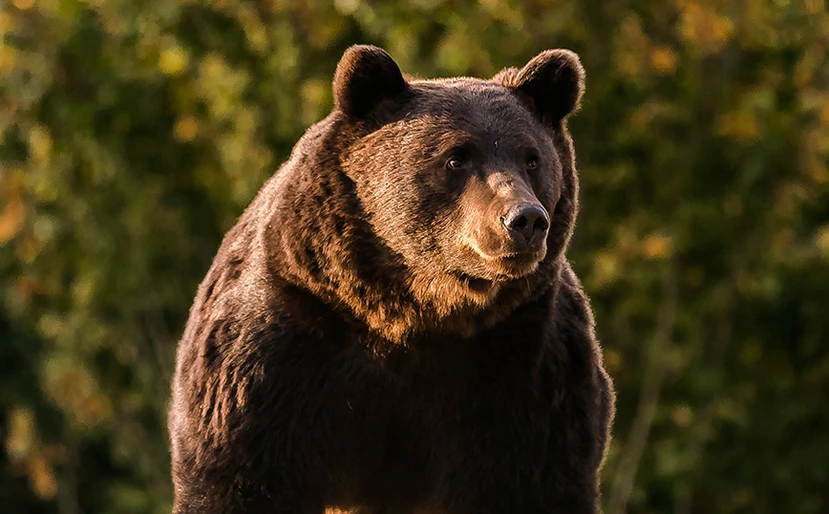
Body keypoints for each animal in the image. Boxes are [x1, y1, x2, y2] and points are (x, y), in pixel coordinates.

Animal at [168, 45, 612, 512]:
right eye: (456, 157)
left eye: (532, 158)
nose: (525, 219)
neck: (411, 313)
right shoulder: (282, 347)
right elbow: (241, 472)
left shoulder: (524, 365)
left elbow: (532, 477)